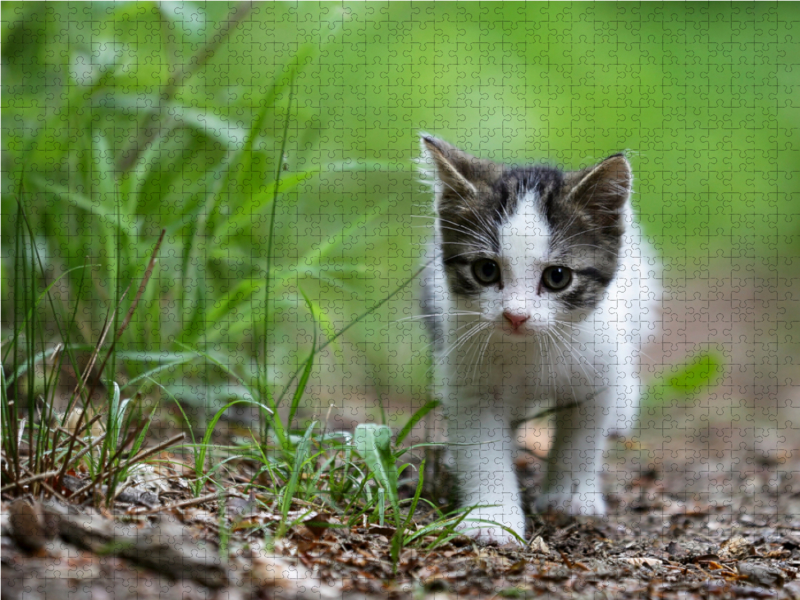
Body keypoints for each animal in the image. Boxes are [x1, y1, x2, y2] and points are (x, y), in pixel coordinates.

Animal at [418, 135, 656, 544]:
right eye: (486, 270)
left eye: (557, 276)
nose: (516, 315)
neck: (530, 349)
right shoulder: (468, 380)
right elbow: (482, 448)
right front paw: (491, 518)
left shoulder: (598, 369)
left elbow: (583, 438)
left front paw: (570, 498)